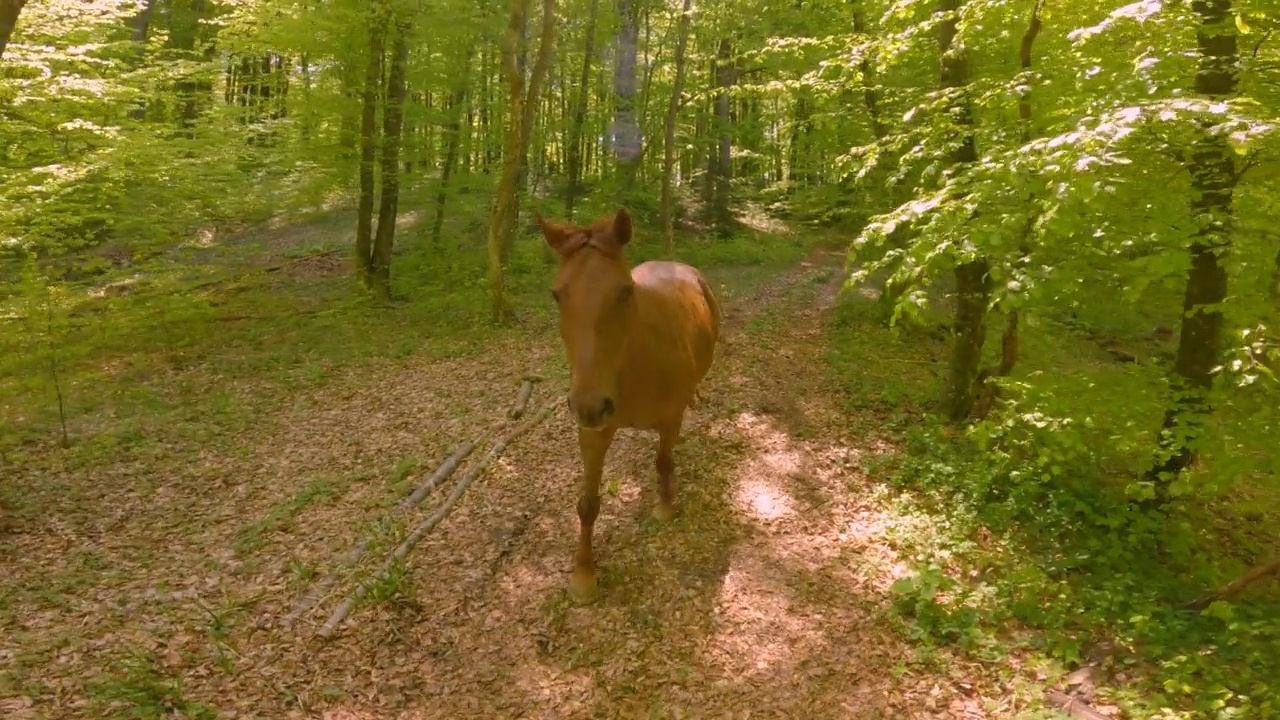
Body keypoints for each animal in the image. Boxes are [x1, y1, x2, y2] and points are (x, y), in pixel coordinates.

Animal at [537, 207, 721, 599]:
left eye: (624, 291)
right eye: (557, 295)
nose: (589, 405)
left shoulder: (671, 417)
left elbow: (664, 462)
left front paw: (664, 509)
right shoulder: (593, 430)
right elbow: (588, 504)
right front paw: (583, 576)